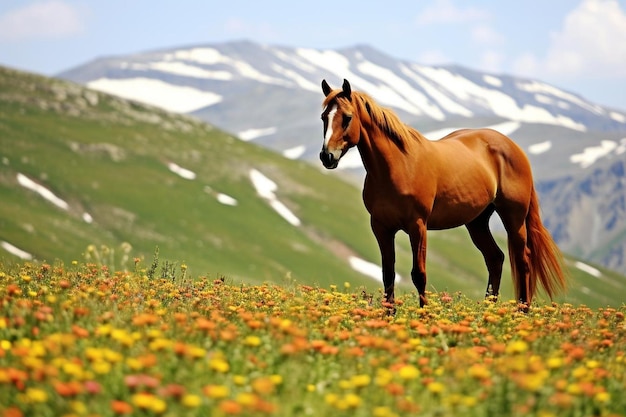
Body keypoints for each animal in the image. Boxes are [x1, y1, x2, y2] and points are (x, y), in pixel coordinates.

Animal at [320, 78, 564, 308]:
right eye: (324, 117)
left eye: (347, 117)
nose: (327, 156)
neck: (398, 166)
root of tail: (513, 148)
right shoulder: (381, 227)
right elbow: (388, 275)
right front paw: (388, 316)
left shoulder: (417, 225)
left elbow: (419, 275)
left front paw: (423, 315)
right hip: (477, 222)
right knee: (495, 258)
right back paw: (489, 310)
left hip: (514, 218)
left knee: (523, 261)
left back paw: (522, 310)